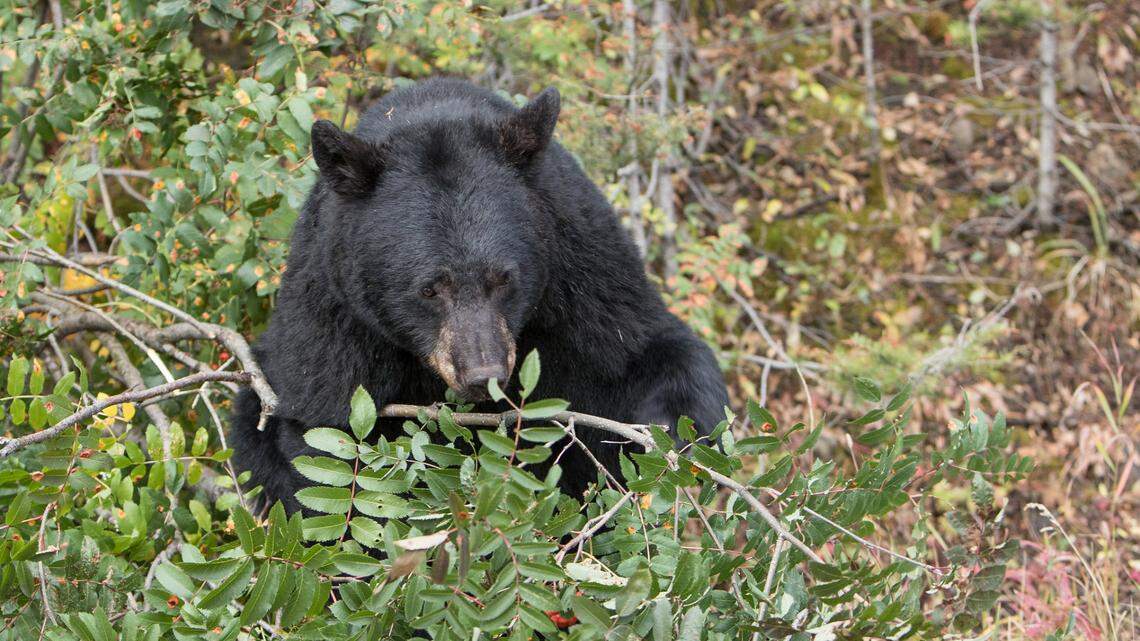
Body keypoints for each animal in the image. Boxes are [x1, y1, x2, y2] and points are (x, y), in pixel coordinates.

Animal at [230, 78, 729, 513]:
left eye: (504, 279)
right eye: (430, 288)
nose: (482, 374)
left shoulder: (584, 270)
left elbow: (645, 352)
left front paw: (667, 435)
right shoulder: (335, 315)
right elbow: (327, 432)